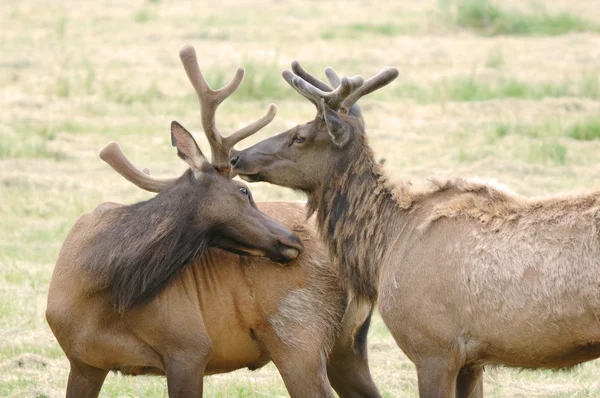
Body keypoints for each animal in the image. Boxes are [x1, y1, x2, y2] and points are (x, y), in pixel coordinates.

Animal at [47, 46, 380, 398]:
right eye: (244, 190)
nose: (292, 240)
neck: (101, 293)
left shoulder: (190, 347)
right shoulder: (83, 361)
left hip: (298, 338)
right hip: (345, 347)